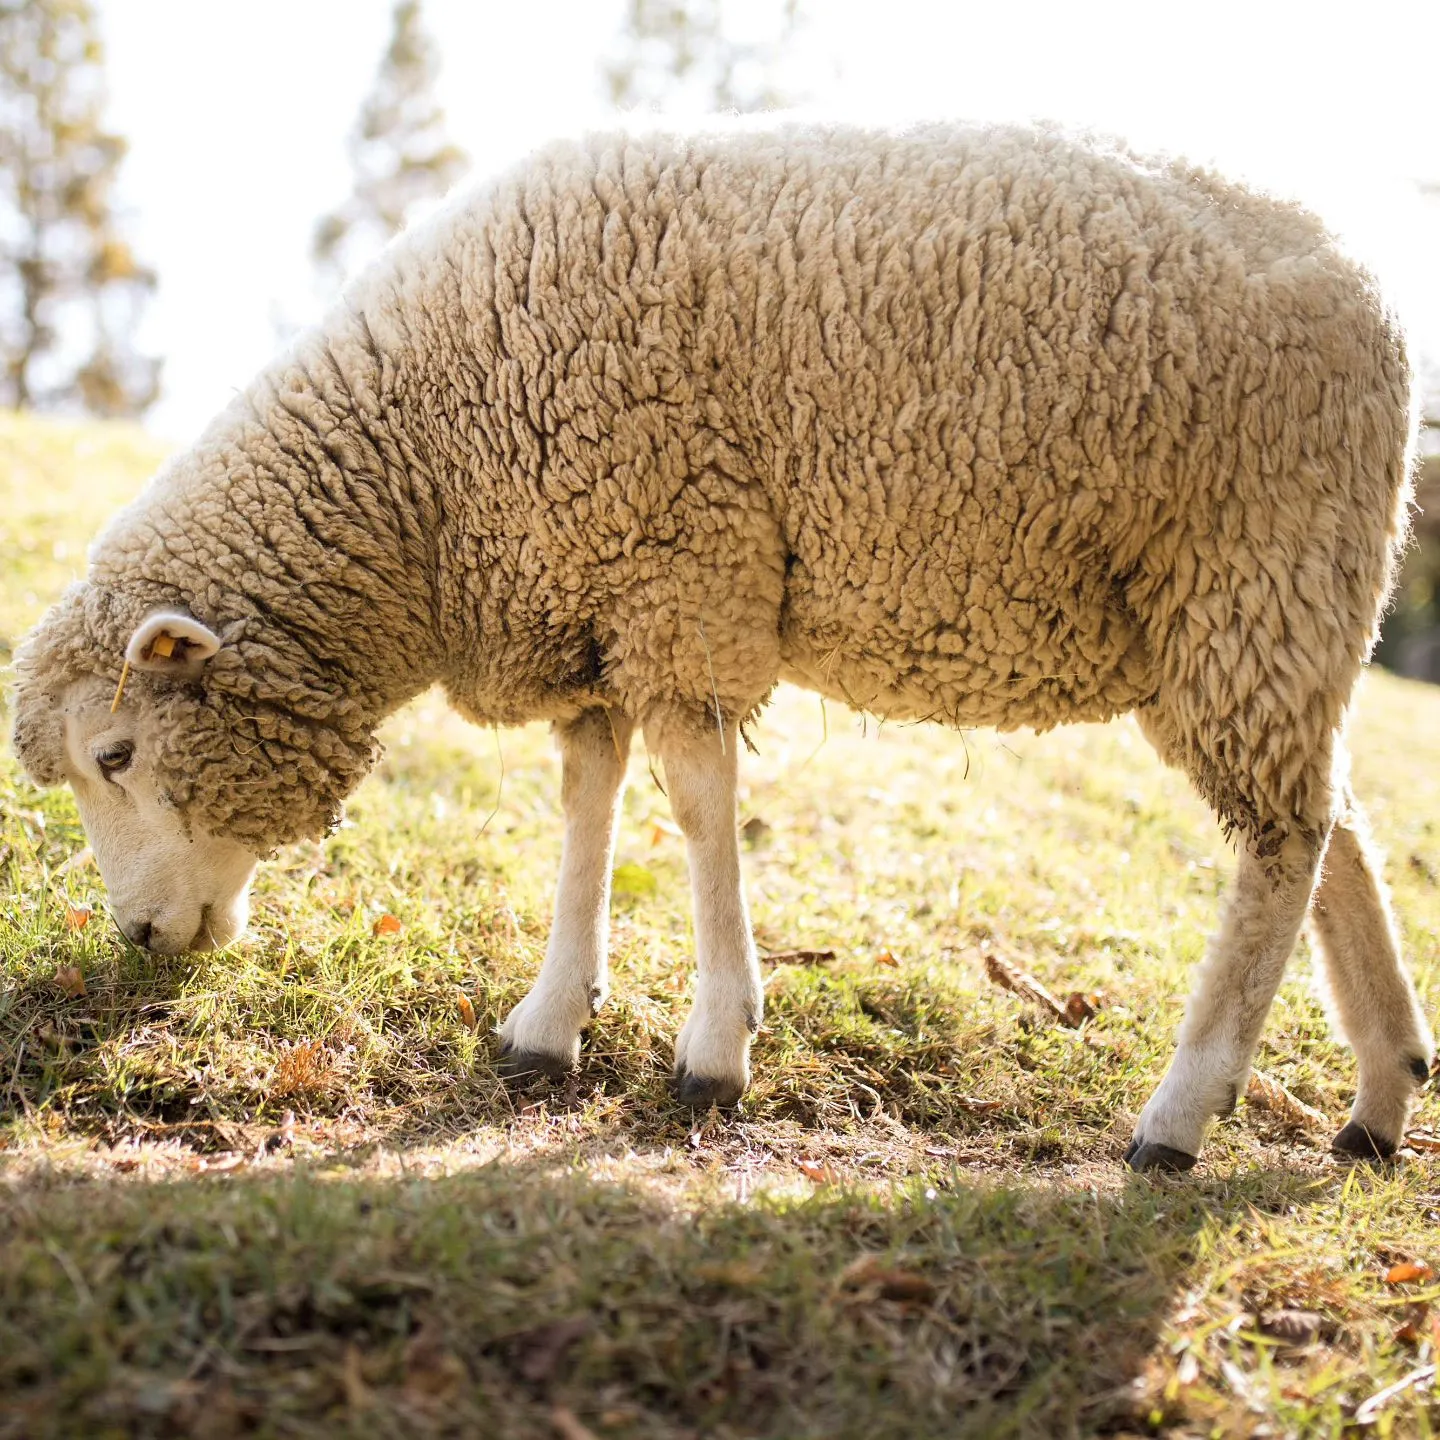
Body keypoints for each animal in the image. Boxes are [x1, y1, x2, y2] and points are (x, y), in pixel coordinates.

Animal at [8, 123, 1428, 1169]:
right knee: (1333, 820)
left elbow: (696, 811)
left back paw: (1181, 1117)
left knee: (1281, 846)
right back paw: (1381, 1094)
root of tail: (1379, 303)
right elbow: (587, 804)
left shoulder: (678, 568)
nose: (137, 942)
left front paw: (714, 1045)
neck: (422, 478)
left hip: (1253, 576)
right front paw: (549, 1023)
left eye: (118, 754)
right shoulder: (590, 602)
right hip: (1266, 614)